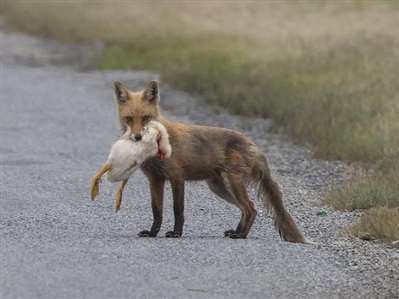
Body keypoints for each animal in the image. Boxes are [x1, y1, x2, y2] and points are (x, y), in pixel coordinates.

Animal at [112, 80, 306, 244]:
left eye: (146, 117)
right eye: (129, 118)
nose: (137, 137)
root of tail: (252, 143)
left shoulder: (177, 177)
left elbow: (178, 209)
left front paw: (176, 233)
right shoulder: (155, 179)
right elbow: (156, 210)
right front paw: (153, 232)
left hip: (232, 182)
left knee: (251, 208)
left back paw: (241, 235)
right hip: (219, 187)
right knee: (246, 209)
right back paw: (237, 231)